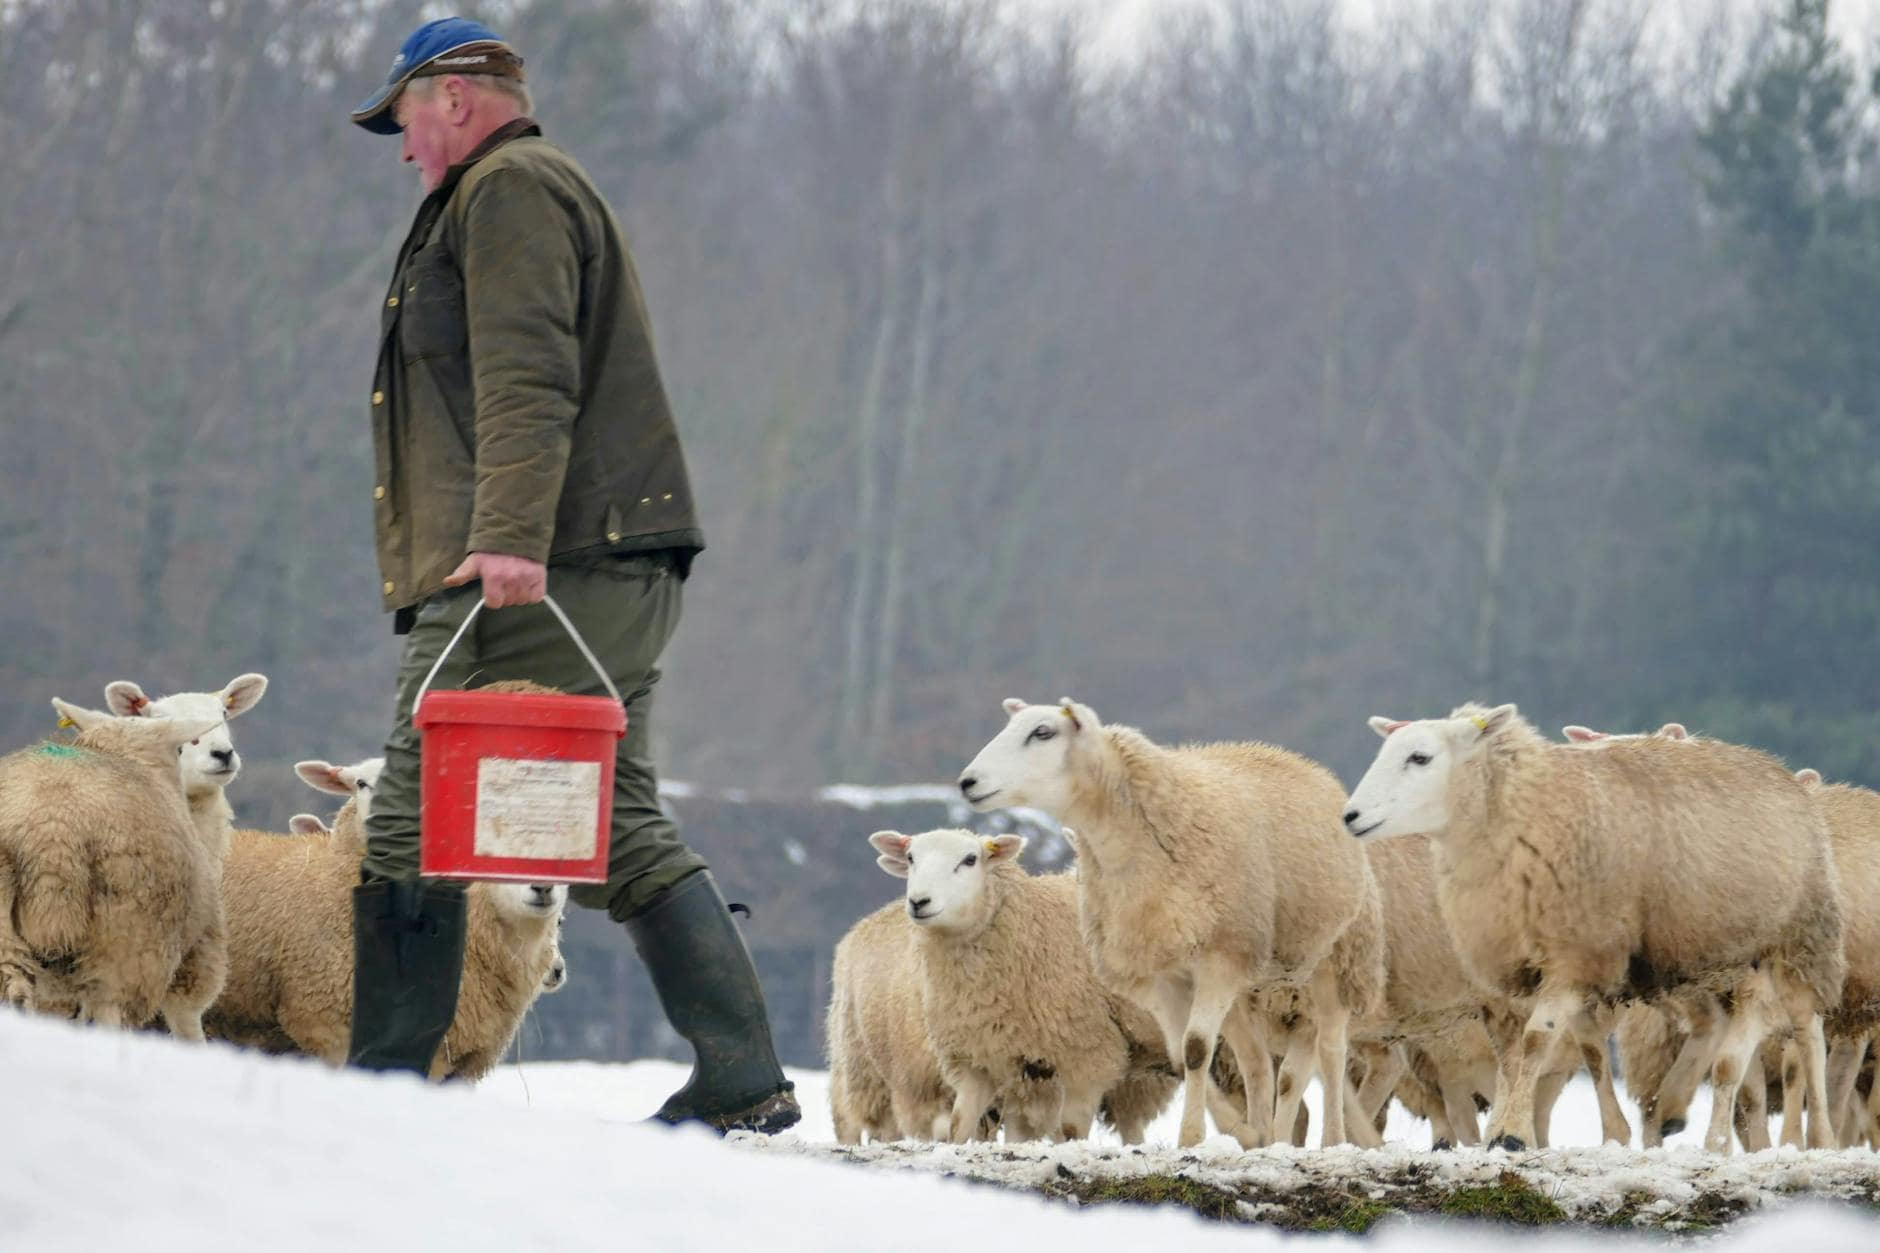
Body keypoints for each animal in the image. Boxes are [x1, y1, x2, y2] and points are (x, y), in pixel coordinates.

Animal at [868, 827, 1161, 1143]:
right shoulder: (981, 1058)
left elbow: (1070, 1130)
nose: (919, 902)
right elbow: (960, 1125)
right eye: (911, 858)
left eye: (970, 859)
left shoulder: (1090, 1054)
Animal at [959, 698, 1383, 1149]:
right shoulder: (1159, 970)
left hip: (1336, 956)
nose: (967, 782)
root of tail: (1297, 761)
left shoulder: (1220, 954)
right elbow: (1181, 1056)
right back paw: (1263, 1135)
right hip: (1249, 984)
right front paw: (1240, 1132)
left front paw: (1192, 1138)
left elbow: (1196, 1050)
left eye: (1042, 732)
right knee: (1255, 1063)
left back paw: (1332, 1139)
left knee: (1331, 1052)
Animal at [1345, 703, 1845, 1152]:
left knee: (1806, 1036)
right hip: (1704, 961)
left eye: (1420, 757)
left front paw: (1511, 1136)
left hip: (1795, 941)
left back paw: (1810, 1137)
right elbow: (1558, 1053)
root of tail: (1773, 766)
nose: (1350, 816)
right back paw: (1680, 1112)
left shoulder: (1577, 951)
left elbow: (1535, 1042)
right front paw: (1600, 1134)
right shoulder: (1537, 967)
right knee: (1720, 1037)